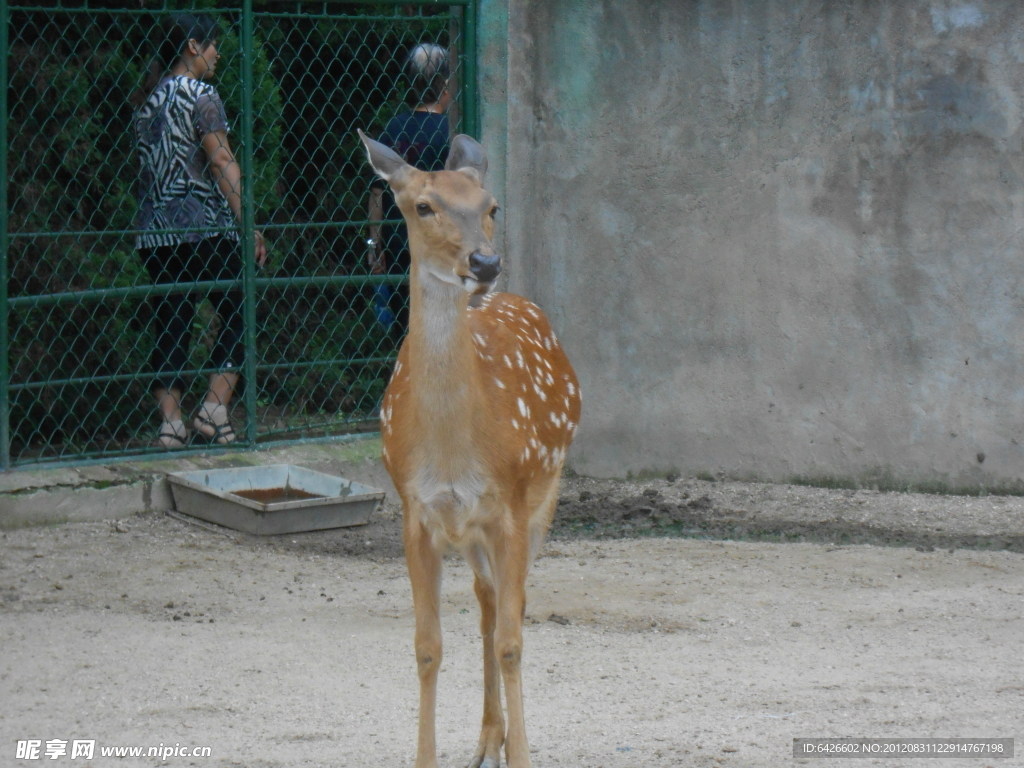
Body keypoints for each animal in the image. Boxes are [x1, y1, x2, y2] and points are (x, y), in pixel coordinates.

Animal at [362, 128, 585, 768]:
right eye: (422, 205)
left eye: (492, 206)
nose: (485, 262)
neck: (452, 452)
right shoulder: (417, 512)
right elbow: (428, 645)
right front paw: (430, 759)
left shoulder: (510, 503)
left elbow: (513, 640)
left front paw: (523, 757)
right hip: (471, 531)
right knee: (486, 603)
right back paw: (487, 738)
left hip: (544, 493)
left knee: (514, 606)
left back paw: (499, 739)